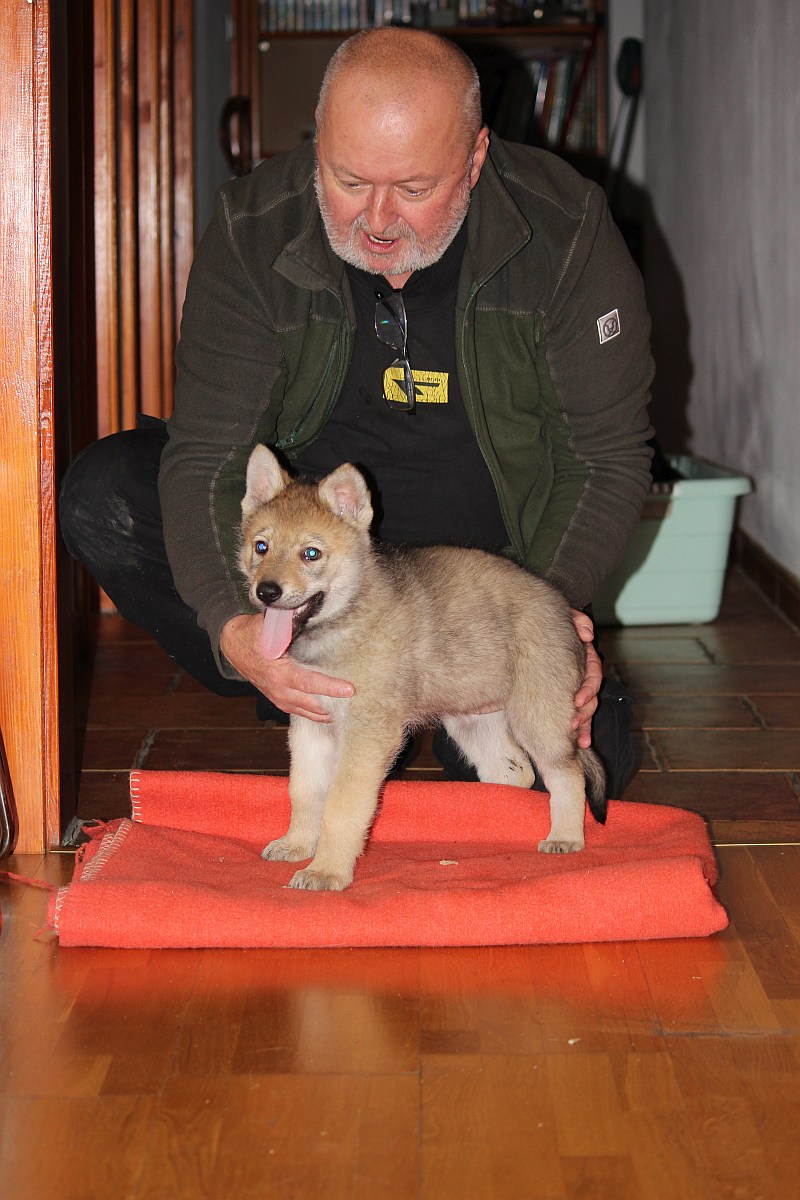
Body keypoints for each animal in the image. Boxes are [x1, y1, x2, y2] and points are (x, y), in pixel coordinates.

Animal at [239, 444, 607, 891]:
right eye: (261, 547)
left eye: (311, 554)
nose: (266, 592)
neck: (344, 624)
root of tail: (564, 611)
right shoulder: (310, 727)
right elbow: (304, 790)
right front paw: (297, 844)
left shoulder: (367, 736)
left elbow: (342, 805)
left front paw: (327, 870)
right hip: (474, 723)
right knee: (515, 772)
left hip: (539, 720)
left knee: (568, 775)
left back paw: (566, 836)